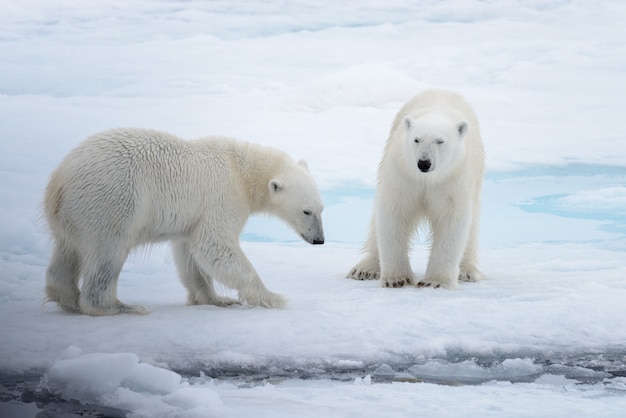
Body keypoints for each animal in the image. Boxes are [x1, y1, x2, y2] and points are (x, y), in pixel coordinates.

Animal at [44, 129, 324, 316]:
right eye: (306, 211)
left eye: (322, 209)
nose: (319, 240)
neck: (242, 171)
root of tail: (59, 180)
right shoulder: (222, 197)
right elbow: (215, 244)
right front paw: (272, 296)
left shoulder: (193, 217)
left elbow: (190, 254)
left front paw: (217, 299)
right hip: (112, 201)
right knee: (108, 251)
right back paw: (120, 306)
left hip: (75, 214)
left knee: (67, 250)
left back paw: (66, 297)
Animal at [346, 88, 482, 290]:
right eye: (416, 139)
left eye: (440, 141)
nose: (424, 163)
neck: (427, 179)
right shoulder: (403, 173)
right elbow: (394, 212)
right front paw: (396, 279)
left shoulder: (452, 178)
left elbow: (451, 218)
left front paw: (435, 281)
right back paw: (365, 269)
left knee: (471, 227)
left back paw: (467, 271)